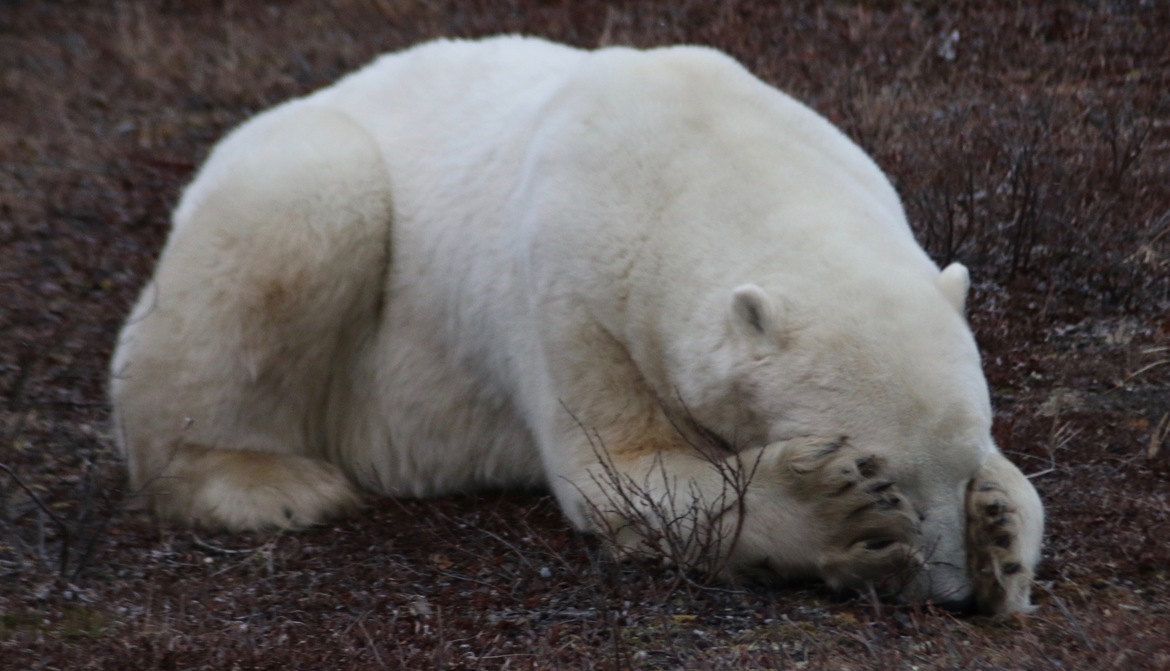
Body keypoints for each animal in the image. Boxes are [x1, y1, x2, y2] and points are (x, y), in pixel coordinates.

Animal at [110, 36, 1044, 615]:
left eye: (961, 464)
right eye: (885, 469)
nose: (952, 590)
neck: (709, 149)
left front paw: (1003, 529)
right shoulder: (575, 290)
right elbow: (620, 471)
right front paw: (839, 514)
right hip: (291, 190)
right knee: (299, 213)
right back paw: (270, 483)